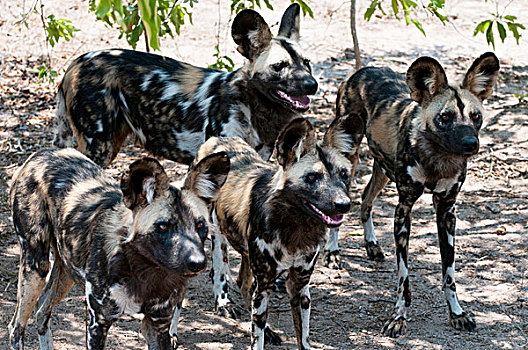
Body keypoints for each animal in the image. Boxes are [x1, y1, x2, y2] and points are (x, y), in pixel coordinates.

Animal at [7, 148, 228, 350]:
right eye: (164, 226)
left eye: (200, 225)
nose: (198, 263)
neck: (146, 271)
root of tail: (40, 153)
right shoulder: (98, 324)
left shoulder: (158, 324)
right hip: (36, 269)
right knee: (16, 328)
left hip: (65, 274)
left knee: (41, 312)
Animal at [54, 3, 318, 168]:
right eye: (279, 66)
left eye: (307, 63)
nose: (312, 85)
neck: (253, 107)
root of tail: (76, 63)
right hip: (98, 146)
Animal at [187, 116, 358, 348]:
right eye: (312, 177)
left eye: (343, 174)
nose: (343, 204)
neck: (295, 227)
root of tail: (218, 139)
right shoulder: (265, 283)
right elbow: (256, 340)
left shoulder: (300, 287)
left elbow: (303, 338)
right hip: (218, 237)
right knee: (221, 272)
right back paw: (224, 304)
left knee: (245, 285)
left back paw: (266, 329)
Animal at [330, 52, 500, 336]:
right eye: (446, 117)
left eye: (476, 116)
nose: (470, 144)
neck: (438, 157)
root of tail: (361, 70)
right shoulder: (404, 210)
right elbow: (404, 277)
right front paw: (398, 317)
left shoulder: (447, 211)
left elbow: (449, 274)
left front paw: (457, 313)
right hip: (349, 162)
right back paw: (333, 252)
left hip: (383, 170)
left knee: (365, 199)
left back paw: (371, 245)